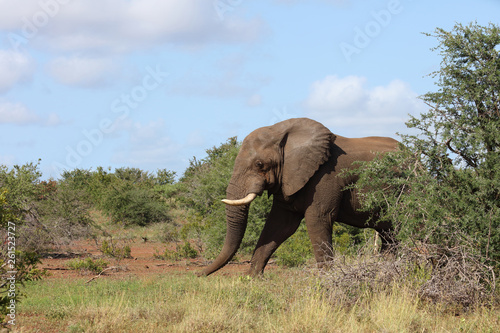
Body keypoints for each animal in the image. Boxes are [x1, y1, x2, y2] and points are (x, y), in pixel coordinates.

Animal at [199, 116, 398, 274]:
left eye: (259, 164)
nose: (198, 275)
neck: (281, 132)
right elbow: (279, 224)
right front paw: (252, 278)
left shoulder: (325, 177)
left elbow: (318, 219)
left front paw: (327, 281)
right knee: (389, 235)